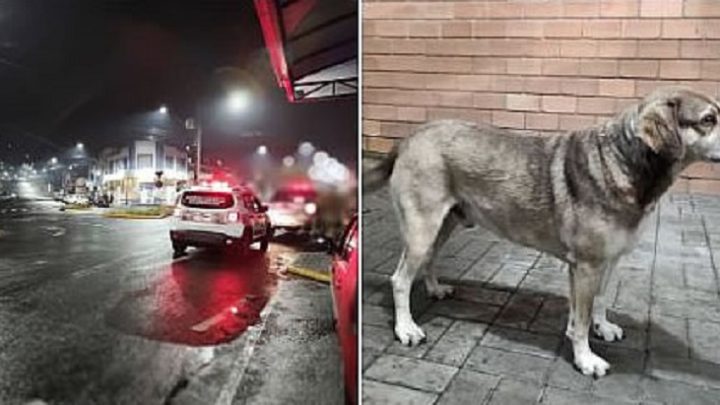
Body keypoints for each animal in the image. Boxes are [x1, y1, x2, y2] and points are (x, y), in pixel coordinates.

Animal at [366, 87, 720, 376]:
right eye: (708, 119)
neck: (628, 162)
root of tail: (409, 138)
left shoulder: (609, 261)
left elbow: (601, 300)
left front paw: (603, 327)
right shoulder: (586, 266)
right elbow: (579, 321)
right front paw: (585, 359)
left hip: (443, 224)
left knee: (429, 260)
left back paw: (436, 289)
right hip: (422, 228)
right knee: (400, 280)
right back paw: (406, 328)